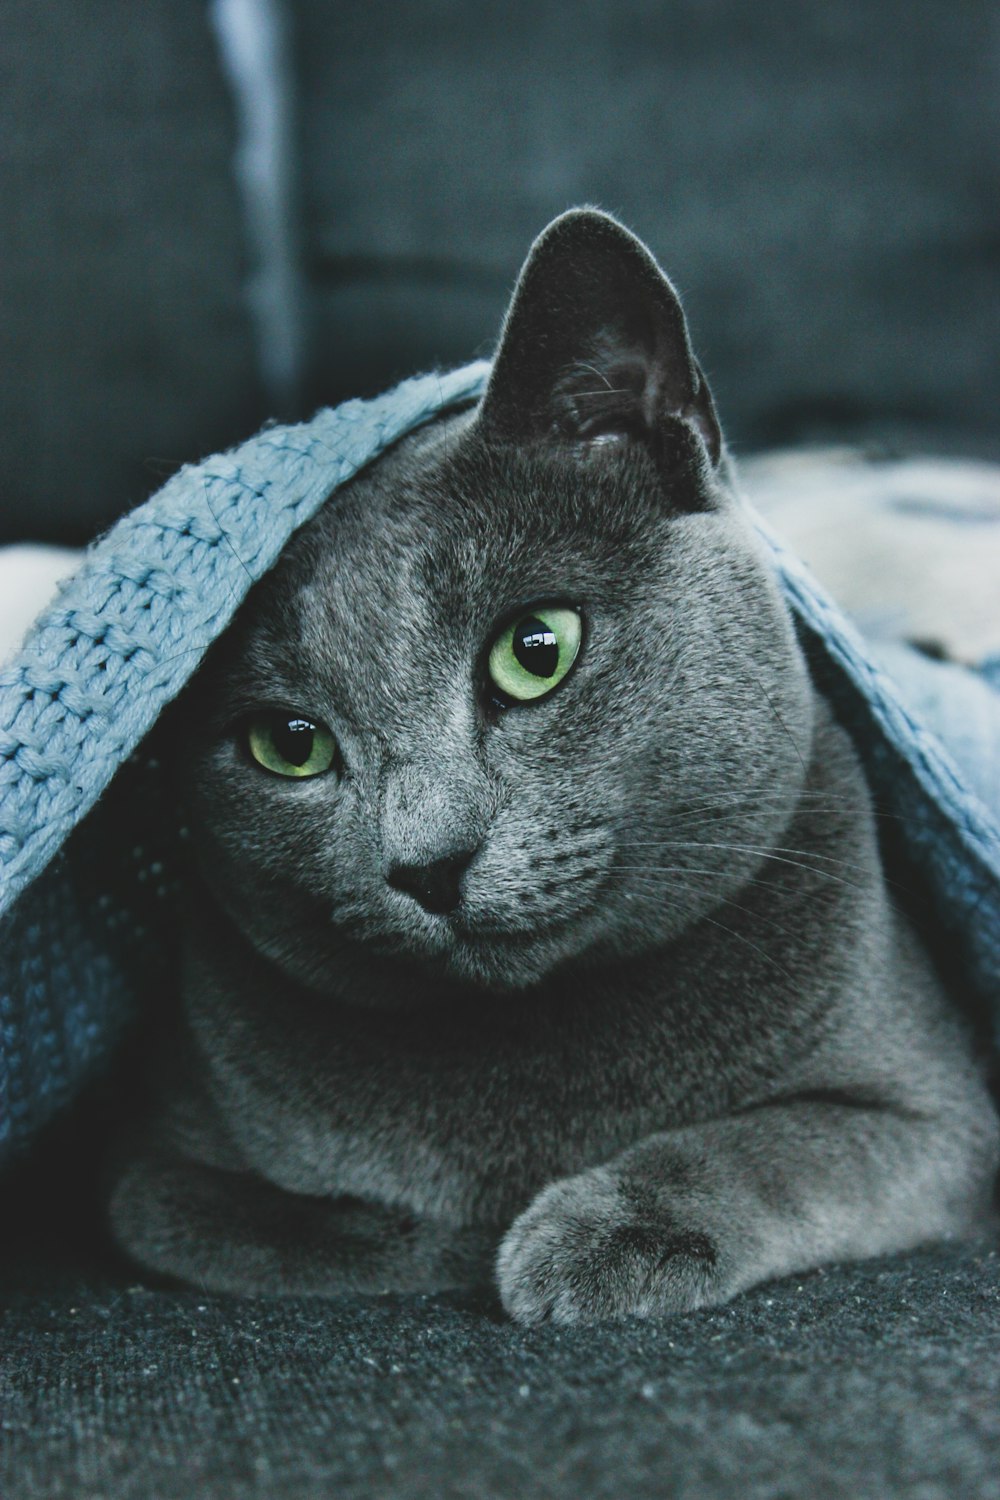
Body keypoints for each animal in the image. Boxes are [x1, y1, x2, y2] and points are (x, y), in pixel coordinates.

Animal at [105, 211, 995, 1326]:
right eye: (289, 744)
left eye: (537, 650)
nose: (428, 863)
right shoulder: (152, 1173)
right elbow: (306, 1230)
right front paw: (472, 1240)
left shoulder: (945, 1115)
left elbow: (785, 1146)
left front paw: (602, 1232)